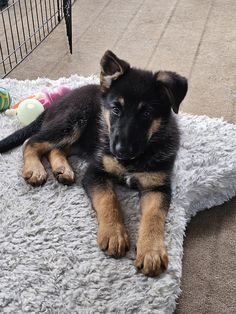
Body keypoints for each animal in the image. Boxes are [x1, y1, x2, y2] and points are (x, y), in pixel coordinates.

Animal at [0, 50, 188, 276]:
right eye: (115, 109)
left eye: (146, 114)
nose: (120, 151)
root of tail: (57, 101)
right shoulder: (95, 172)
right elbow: (108, 199)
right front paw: (114, 233)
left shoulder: (158, 187)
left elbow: (154, 217)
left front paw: (151, 251)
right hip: (74, 120)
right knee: (31, 141)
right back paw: (35, 169)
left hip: (80, 137)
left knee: (54, 148)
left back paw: (62, 169)